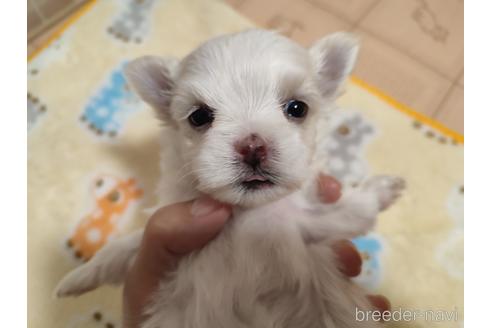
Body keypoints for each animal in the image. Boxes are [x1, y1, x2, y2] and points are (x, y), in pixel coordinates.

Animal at [56, 29, 404, 326]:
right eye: (199, 116)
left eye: (297, 108)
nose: (253, 147)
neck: (245, 215)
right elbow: (126, 246)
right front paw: (76, 279)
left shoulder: (309, 224)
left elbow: (355, 209)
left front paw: (384, 188)